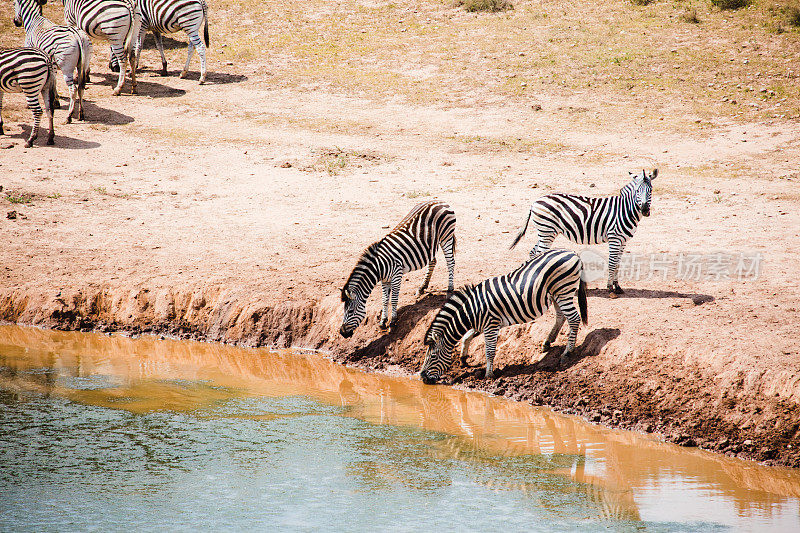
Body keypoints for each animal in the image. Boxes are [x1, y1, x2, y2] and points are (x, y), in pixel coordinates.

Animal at [340, 200, 460, 336]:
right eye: (344, 311)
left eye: (350, 312)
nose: (342, 332)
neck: (379, 267)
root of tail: (440, 201)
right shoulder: (385, 280)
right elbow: (385, 299)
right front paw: (383, 321)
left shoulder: (396, 275)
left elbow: (393, 299)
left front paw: (392, 321)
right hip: (431, 245)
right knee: (433, 261)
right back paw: (422, 287)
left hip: (446, 237)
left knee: (450, 262)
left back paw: (450, 289)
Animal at [418, 249, 588, 382]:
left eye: (433, 357)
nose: (422, 378)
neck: (472, 310)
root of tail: (573, 253)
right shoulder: (481, 324)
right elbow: (466, 337)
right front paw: (463, 359)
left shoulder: (491, 324)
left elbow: (489, 351)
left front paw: (488, 375)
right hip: (555, 293)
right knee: (561, 316)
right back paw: (547, 342)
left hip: (563, 290)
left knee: (574, 318)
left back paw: (567, 352)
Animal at [512, 169, 656, 296]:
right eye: (637, 191)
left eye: (651, 190)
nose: (645, 210)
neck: (625, 209)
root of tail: (535, 202)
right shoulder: (614, 238)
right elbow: (612, 262)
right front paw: (610, 287)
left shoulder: (623, 240)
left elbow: (618, 263)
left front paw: (618, 286)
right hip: (547, 231)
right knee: (539, 253)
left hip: (545, 232)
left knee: (533, 252)